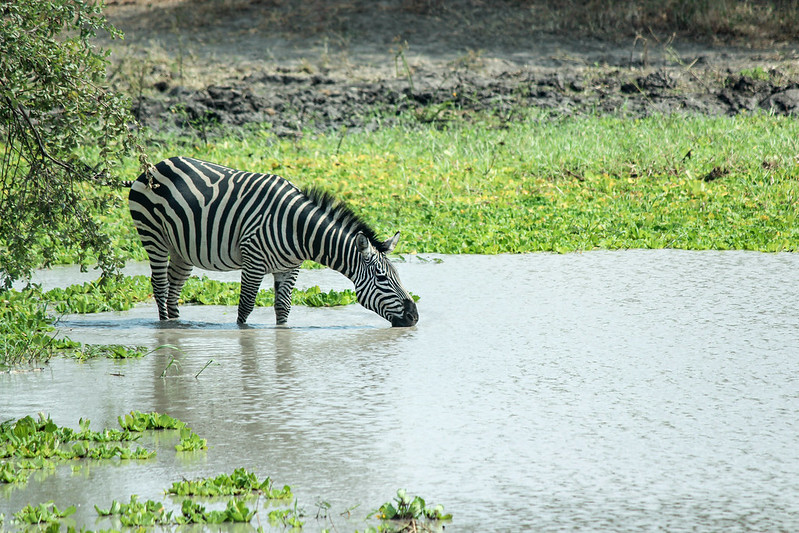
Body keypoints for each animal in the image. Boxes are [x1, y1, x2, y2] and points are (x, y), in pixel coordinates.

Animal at [128, 156, 418, 327]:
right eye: (382, 278)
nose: (414, 317)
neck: (298, 230)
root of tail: (155, 165)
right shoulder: (253, 262)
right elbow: (245, 307)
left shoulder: (290, 268)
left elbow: (283, 308)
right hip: (153, 236)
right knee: (161, 285)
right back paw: (165, 328)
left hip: (182, 249)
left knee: (174, 288)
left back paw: (177, 326)